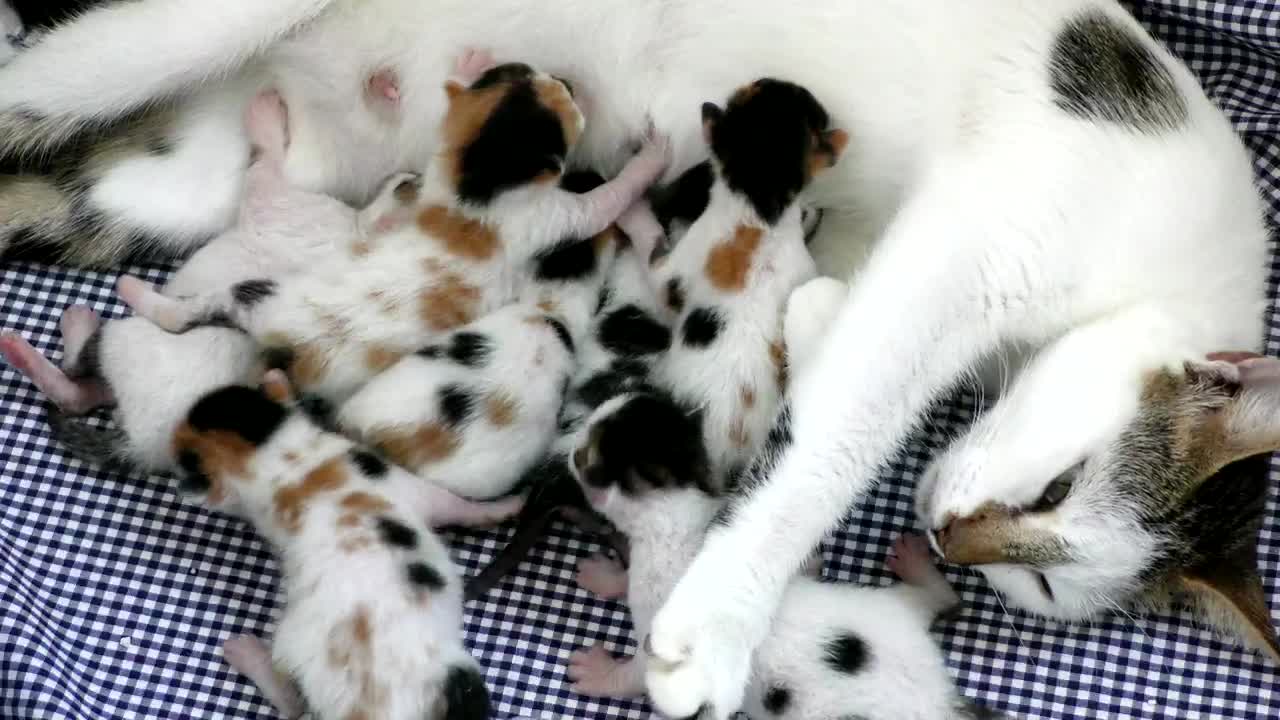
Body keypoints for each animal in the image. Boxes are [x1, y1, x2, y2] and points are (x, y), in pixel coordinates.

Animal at [117, 51, 670, 407]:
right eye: (564, 103)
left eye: (527, 74)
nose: (571, 81)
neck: (476, 185)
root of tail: (286, 345)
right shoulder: (550, 215)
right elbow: (602, 203)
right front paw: (648, 161)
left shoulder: (438, 164)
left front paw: (465, 68)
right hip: (292, 216)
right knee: (268, 173)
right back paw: (266, 114)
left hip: (251, 294)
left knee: (183, 316)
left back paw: (136, 293)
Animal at [176, 371, 514, 717]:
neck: (291, 465)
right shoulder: (410, 486)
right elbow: (460, 505)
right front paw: (510, 506)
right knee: (290, 703)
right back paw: (244, 650)